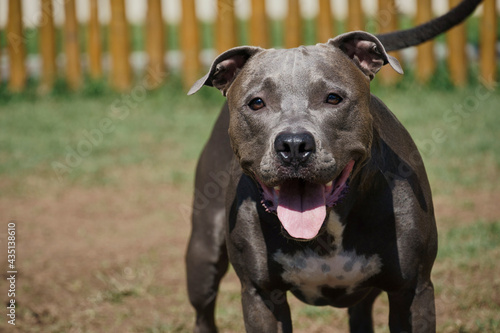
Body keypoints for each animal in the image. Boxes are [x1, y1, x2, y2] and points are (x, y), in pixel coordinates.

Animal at [187, 1, 480, 330]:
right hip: (203, 253)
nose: (294, 145)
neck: (325, 228)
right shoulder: (261, 295)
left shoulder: (413, 290)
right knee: (203, 312)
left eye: (333, 98)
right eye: (257, 103)